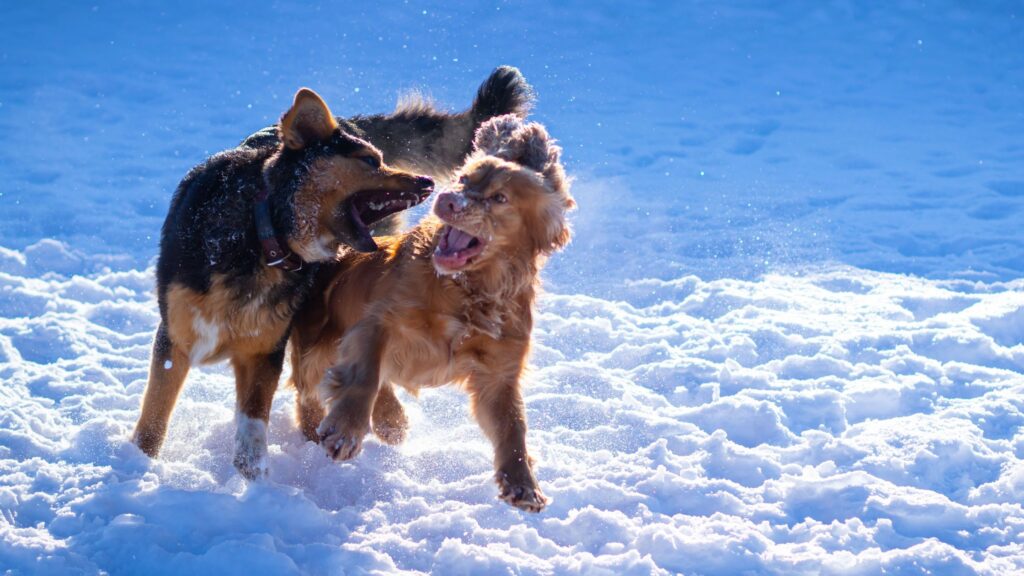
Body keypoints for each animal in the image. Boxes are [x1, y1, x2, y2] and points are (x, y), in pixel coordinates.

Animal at [134, 68, 536, 479]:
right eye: (370, 161)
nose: (425, 183)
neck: (263, 233)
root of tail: (350, 119)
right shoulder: (176, 338)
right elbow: (155, 413)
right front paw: (137, 464)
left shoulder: (266, 350)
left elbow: (254, 419)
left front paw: (254, 473)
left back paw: (381, 418)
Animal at [290, 114, 577, 508]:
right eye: (463, 180)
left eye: (500, 198)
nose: (448, 199)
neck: (467, 291)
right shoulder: (378, 321)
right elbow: (365, 375)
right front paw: (345, 429)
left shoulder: (499, 375)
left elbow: (513, 426)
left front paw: (522, 482)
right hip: (315, 344)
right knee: (309, 388)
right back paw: (329, 426)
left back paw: (390, 420)